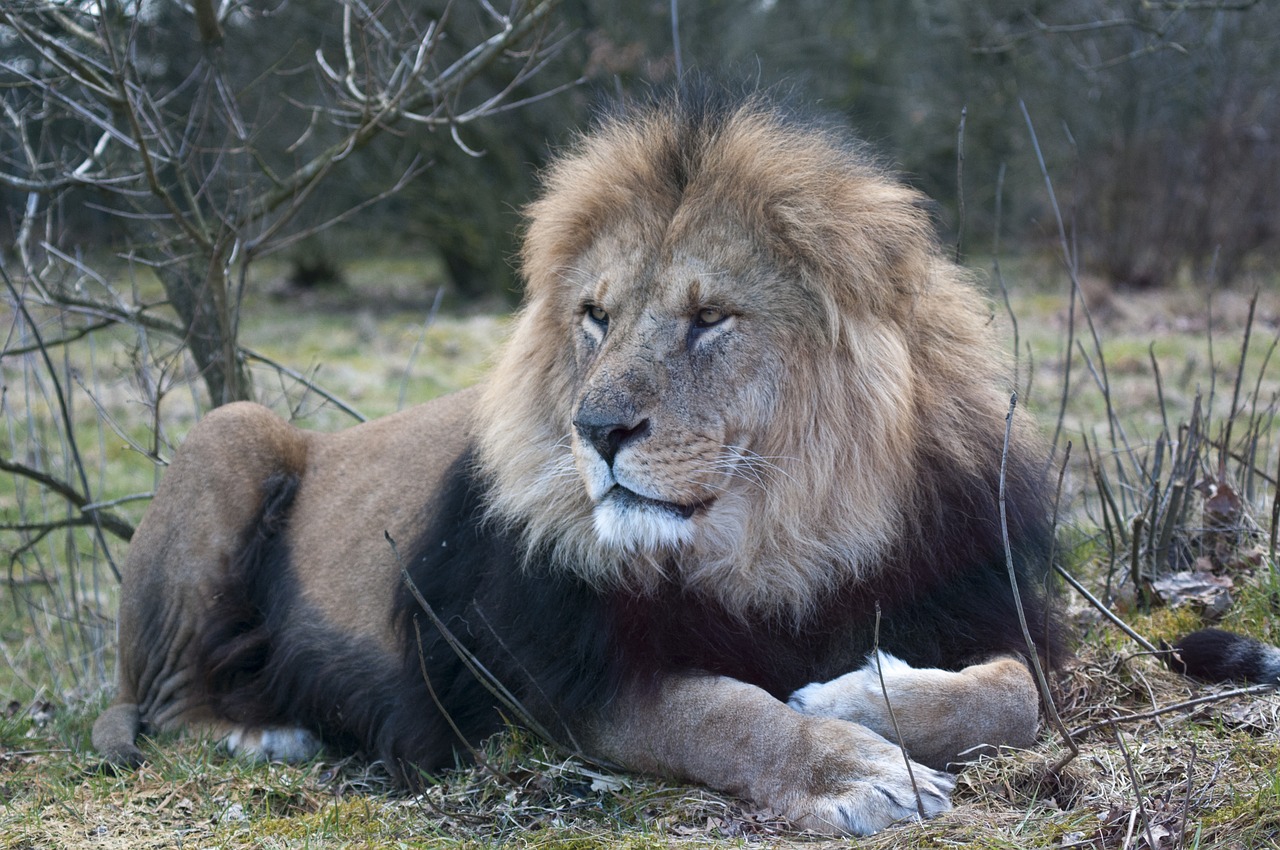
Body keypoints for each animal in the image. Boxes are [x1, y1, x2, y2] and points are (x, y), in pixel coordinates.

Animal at [92, 86, 1070, 834]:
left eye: (710, 318)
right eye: (596, 316)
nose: (594, 428)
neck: (784, 540)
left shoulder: (971, 593)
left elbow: (1015, 692)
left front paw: (857, 692)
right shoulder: (546, 675)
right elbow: (721, 713)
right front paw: (854, 769)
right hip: (232, 430)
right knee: (165, 703)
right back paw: (265, 734)